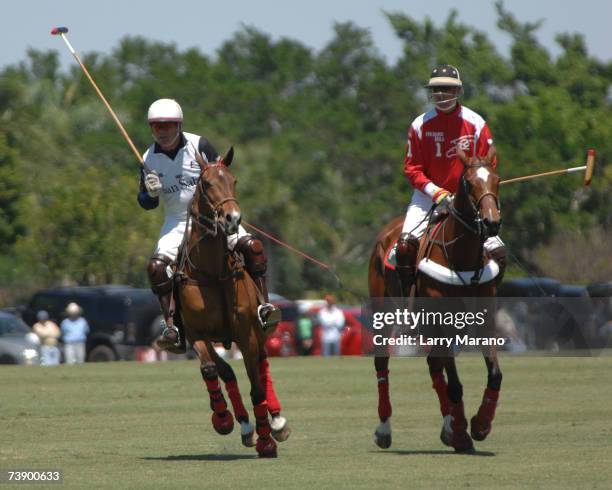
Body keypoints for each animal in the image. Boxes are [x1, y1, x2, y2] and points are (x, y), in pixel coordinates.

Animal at [176, 147, 290, 458]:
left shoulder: (247, 333)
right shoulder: (196, 334)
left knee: (262, 366)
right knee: (228, 373)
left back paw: (277, 422)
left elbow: (257, 388)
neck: (213, 272)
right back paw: (245, 425)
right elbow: (213, 369)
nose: (232, 219)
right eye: (205, 184)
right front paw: (223, 418)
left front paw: (266, 441)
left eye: (234, 180)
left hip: (258, 332)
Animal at [368, 147, 502, 454]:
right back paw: (384, 429)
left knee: (433, 365)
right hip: (383, 312)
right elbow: (455, 385)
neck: (462, 256)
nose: (491, 223)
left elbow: (494, 374)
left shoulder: (484, 322)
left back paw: (448, 426)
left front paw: (479, 425)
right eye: (469, 183)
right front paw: (463, 432)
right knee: (382, 364)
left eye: (497, 180)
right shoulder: (443, 322)